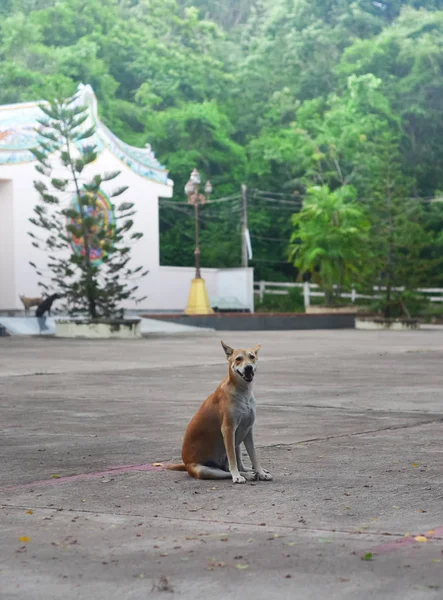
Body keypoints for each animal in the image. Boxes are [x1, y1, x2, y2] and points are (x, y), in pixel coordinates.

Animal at [166, 342, 270, 482]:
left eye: (252, 357)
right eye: (238, 359)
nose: (248, 368)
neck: (243, 391)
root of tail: (186, 464)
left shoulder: (248, 430)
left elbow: (253, 455)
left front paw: (261, 472)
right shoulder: (228, 429)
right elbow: (232, 459)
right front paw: (237, 476)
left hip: (238, 439)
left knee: (236, 465)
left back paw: (249, 471)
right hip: (203, 470)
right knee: (226, 471)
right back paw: (245, 475)